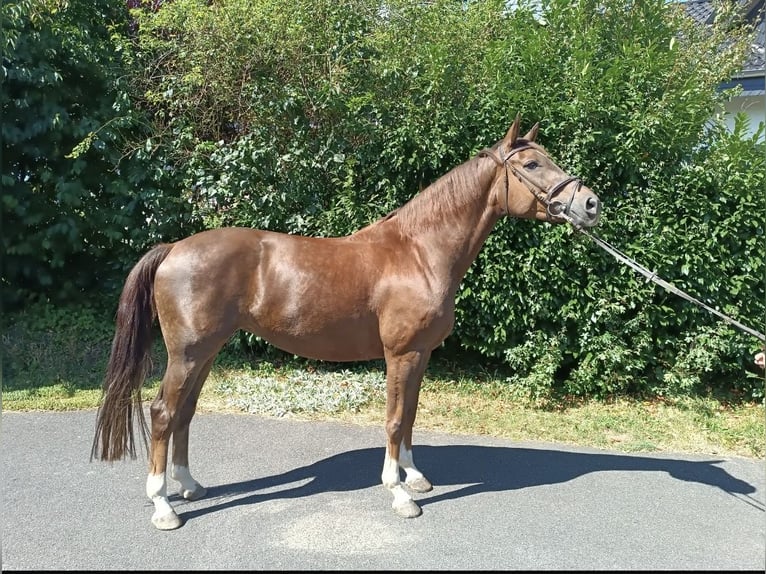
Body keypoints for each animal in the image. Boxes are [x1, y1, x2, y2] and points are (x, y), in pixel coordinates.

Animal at [91, 116, 608, 532]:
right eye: (533, 165)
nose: (590, 205)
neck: (419, 252)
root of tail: (173, 249)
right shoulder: (401, 354)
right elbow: (395, 419)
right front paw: (399, 494)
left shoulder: (420, 355)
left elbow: (411, 416)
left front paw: (415, 477)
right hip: (189, 352)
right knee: (163, 413)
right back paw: (163, 506)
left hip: (205, 352)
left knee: (183, 412)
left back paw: (189, 485)